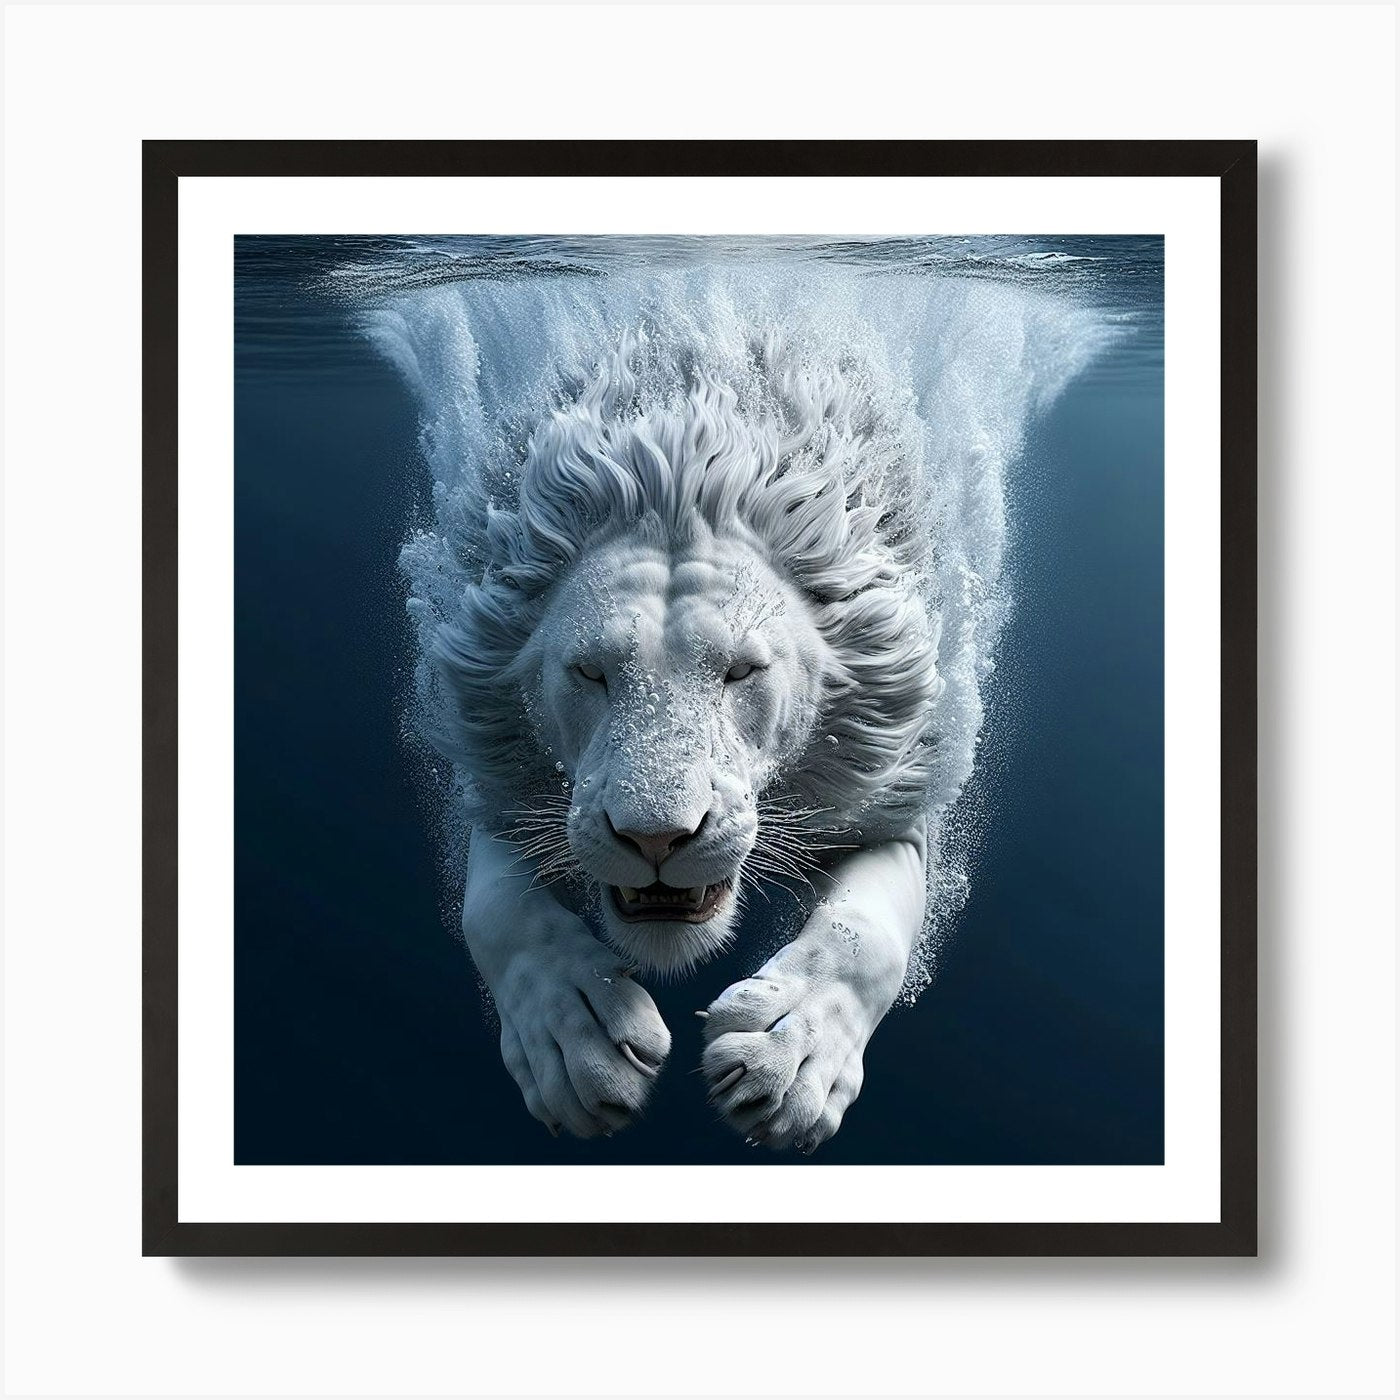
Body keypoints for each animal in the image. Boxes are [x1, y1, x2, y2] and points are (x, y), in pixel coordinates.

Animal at [419, 329, 968, 1151]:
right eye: (591, 672)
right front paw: (577, 1048)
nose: (655, 838)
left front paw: (785, 1063)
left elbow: (865, 932)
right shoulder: (498, 774)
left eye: (741, 671)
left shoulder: (890, 787)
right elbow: (494, 913)